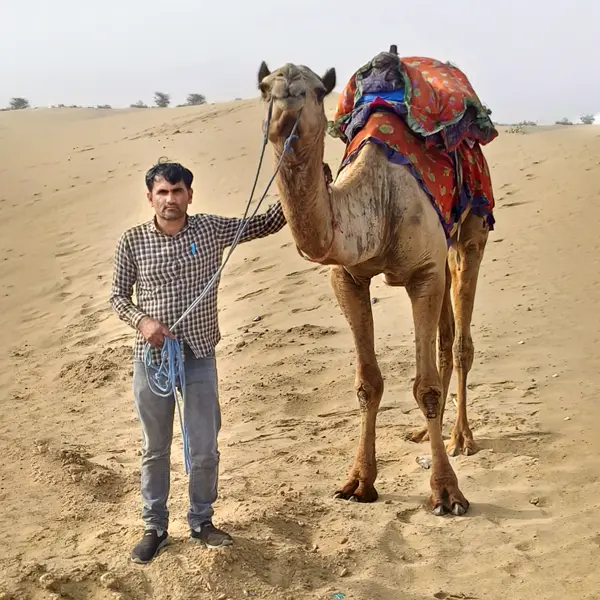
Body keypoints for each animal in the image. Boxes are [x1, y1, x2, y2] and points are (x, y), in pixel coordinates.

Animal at [257, 57, 490, 516]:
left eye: (317, 90)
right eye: (263, 88)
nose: (286, 104)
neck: (376, 203)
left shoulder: (423, 273)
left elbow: (426, 387)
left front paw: (447, 493)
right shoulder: (347, 277)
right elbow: (368, 383)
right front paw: (358, 482)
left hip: (470, 232)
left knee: (460, 342)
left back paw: (460, 438)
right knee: (446, 337)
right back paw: (426, 434)